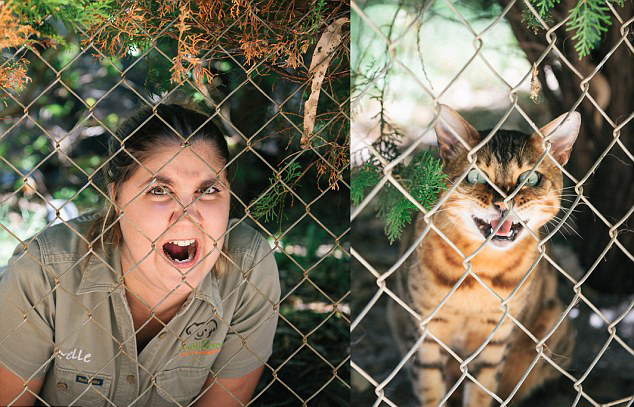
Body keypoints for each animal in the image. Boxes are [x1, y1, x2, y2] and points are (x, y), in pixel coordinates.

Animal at [386, 106, 576, 407]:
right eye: (475, 176)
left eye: (531, 178)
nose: (503, 203)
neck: (479, 271)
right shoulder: (426, 333)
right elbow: (430, 389)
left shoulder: (496, 337)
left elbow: (481, 390)